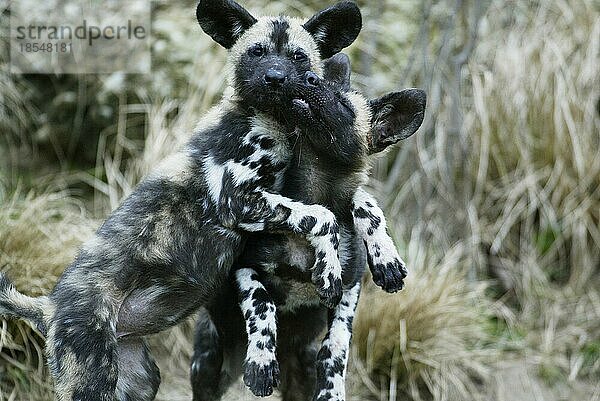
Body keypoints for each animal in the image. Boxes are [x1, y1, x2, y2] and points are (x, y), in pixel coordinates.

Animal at [0, 1, 370, 398]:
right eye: (256, 52)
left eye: (299, 57)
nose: (275, 78)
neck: (272, 121)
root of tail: (48, 306)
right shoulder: (237, 199)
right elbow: (321, 216)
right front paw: (329, 269)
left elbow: (328, 210)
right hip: (91, 380)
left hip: (140, 378)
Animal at [192, 54, 426, 400]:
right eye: (319, 81)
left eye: (344, 104)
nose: (310, 78)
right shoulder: (244, 268)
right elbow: (262, 305)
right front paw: (261, 362)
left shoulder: (350, 288)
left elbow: (335, 346)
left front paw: (332, 389)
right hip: (207, 365)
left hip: (297, 372)